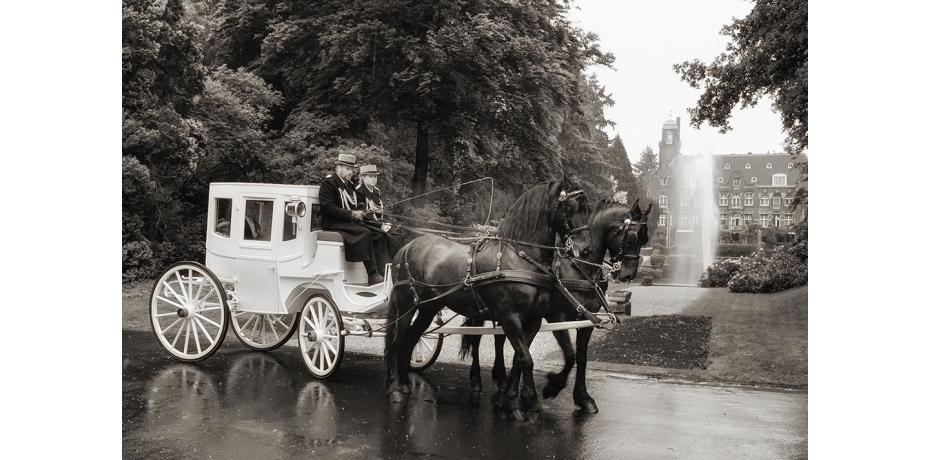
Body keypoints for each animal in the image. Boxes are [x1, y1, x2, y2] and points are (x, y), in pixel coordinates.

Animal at [380, 174, 584, 422]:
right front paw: (526, 404)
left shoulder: (533, 320)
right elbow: (526, 359)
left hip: (429, 307)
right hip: (406, 304)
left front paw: (523, 401)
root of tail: (408, 246)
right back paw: (395, 389)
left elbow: (521, 360)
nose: (581, 249)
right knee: (396, 340)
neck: (520, 257)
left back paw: (404, 384)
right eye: (569, 208)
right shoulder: (510, 318)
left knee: (410, 338)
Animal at [460, 198, 648, 414]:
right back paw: (476, 380)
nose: (629, 275)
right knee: (476, 339)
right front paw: (551, 386)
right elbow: (569, 355)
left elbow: (581, 357)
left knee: (499, 339)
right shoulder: (556, 316)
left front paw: (583, 397)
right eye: (633, 237)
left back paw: (501, 379)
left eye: (645, 239)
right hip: (481, 309)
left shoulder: (587, 320)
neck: (578, 266)